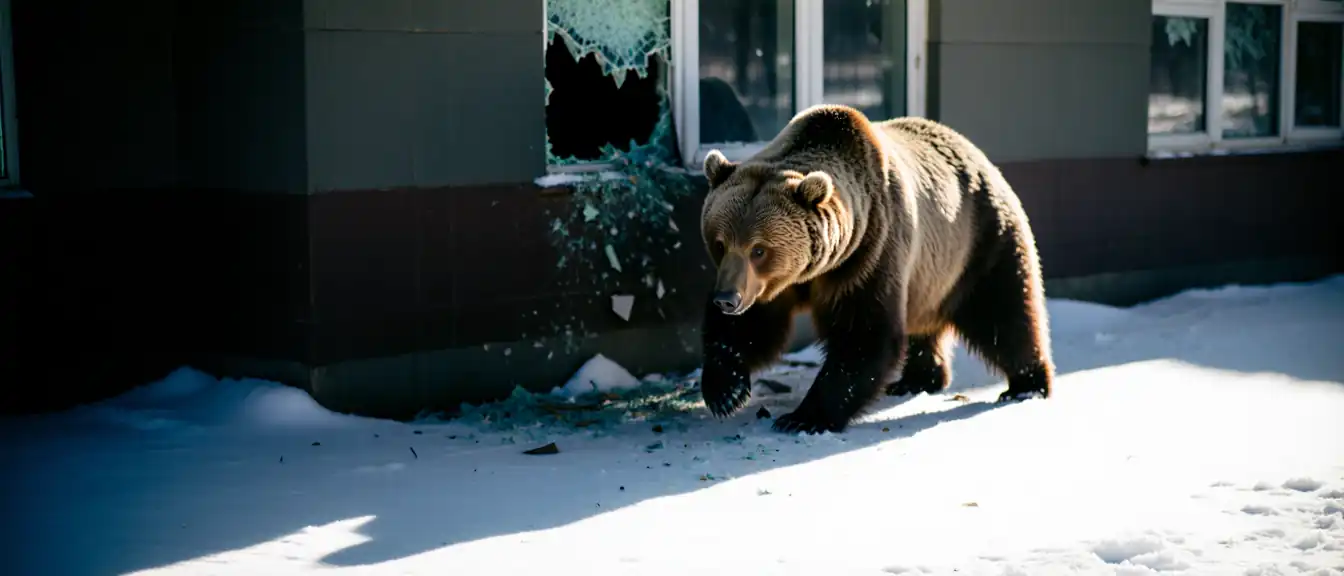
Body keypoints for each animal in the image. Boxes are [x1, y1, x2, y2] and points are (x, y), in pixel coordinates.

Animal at [697, 104, 1055, 434]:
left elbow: (864, 333)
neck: (811, 272)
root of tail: (979, 154)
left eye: (758, 249)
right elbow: (751, 326)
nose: (726, 299)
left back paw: (1027, 385)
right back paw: (919, 379)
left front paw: (804, 417)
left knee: (1004, 311)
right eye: (720, 243)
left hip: (980, 237)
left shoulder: (870, 252)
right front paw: (726, 391)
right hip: (930, 273)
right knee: (927, 323)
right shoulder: (771, 285)